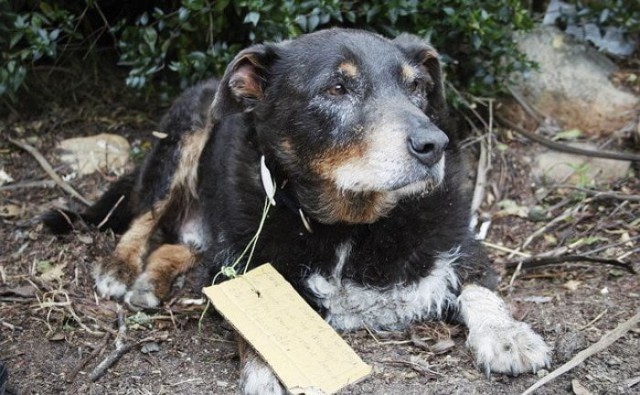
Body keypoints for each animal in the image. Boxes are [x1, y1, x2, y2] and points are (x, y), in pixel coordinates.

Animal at [47, 29, 552, 394]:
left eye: (418, 87)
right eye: (337, 87)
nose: (434, 144)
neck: (351, 225)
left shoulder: (463, 245)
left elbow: (482, 291)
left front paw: (508, 336)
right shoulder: (241, 263)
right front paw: (269, 370)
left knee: (179, 246)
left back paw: (151, 281)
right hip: (183, 138)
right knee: (143, 218)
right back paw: (120, 267)